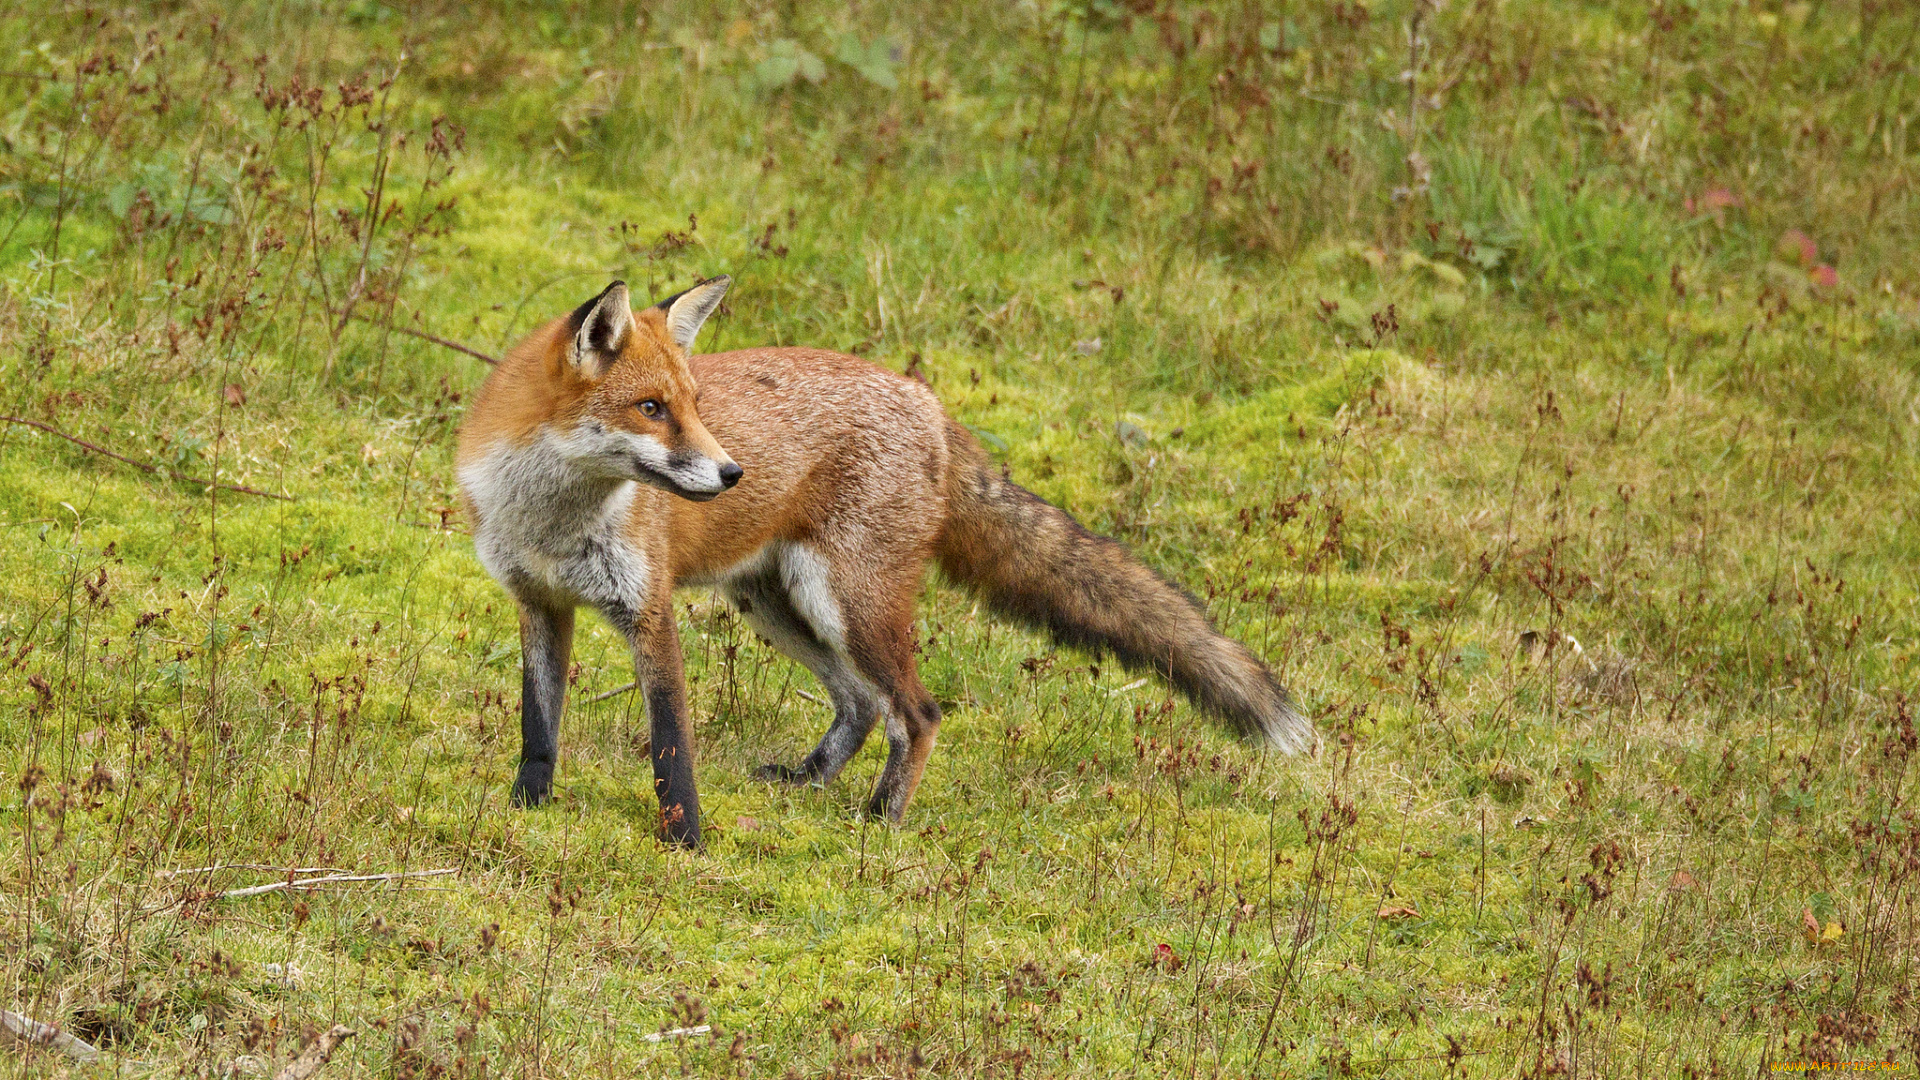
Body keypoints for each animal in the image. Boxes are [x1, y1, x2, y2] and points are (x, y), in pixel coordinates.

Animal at [456, 274, 1313, 841]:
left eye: (693, 406)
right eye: (651, 409)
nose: (733, 473)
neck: (553, 518)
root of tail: (930, 405)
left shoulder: (649, 612)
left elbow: (672, 744)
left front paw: (683, 838)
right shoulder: (540, 603)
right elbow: (539, 724)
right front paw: (527, 807)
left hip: (846, 603)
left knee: (918, 713)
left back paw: (882, 818)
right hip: (779, 604)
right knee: (863, 704)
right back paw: (807, 781)